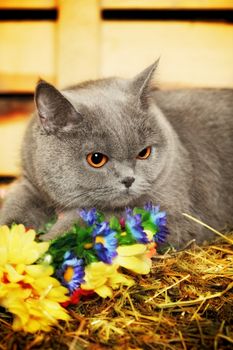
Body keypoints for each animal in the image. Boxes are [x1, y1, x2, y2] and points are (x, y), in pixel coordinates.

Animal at [0, 62, 233, 249]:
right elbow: (14, 208)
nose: (129, 179)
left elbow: (101, 215)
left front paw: (48, 243)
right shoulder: (31, 184)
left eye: (144, 153)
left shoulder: (174, 211)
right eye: (96, 159)